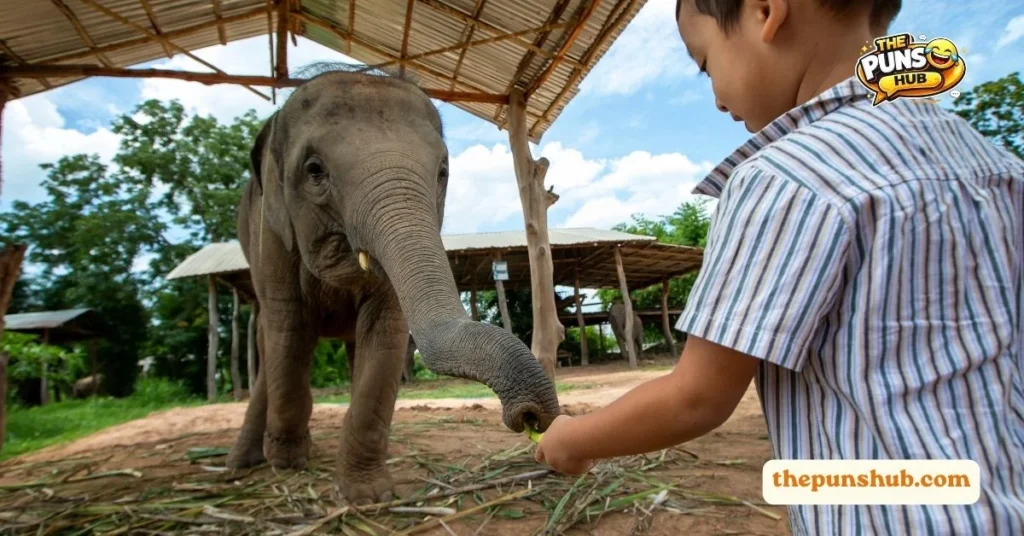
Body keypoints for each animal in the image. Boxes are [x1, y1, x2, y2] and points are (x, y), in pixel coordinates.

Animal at [224, 65, 561, 505]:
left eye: (442, 172)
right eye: (314, 170)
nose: (531, 417)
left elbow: (385, 337)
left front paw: (367, 495)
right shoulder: (271, 238)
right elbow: (290, 329)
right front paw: (289, 460)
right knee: (270, 341)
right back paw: (243, 462)